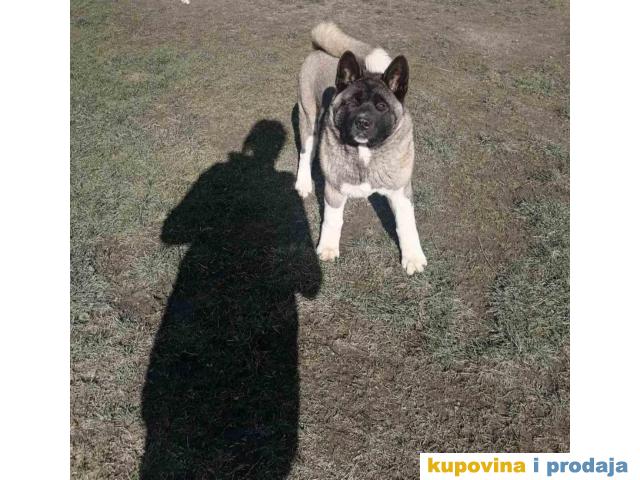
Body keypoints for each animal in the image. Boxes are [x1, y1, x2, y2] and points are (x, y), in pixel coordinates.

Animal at [295, 22, 428, 275]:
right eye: (352, 102)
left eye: (381, 106)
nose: (362, 122)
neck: (366, 152)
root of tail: (319, 49)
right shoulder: (334, 189)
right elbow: (332, 220)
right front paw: (328, 247)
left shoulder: (401, 190)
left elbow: (407, 224)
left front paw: (413, 256)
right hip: (308, 119)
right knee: (306, 153)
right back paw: (303, 182)